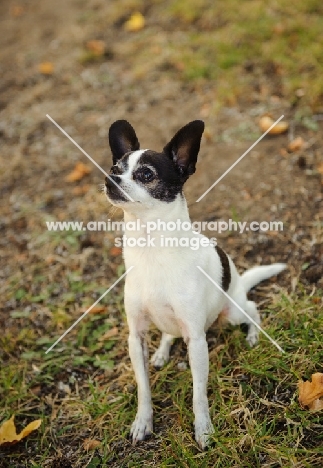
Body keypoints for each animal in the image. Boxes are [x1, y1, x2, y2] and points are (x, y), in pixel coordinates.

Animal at [105, 120, 284, 450]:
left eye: (146, 174)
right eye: (114, 167)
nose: (109, 178)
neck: (151, 247)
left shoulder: (197, 341)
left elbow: (198, 393)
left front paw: (203, 429)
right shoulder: (136, 337)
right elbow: (143, 388)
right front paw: (143, 422)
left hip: (232, 313)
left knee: (252, 309)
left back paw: (253, 334)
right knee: (168, 333)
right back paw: (162, 353)